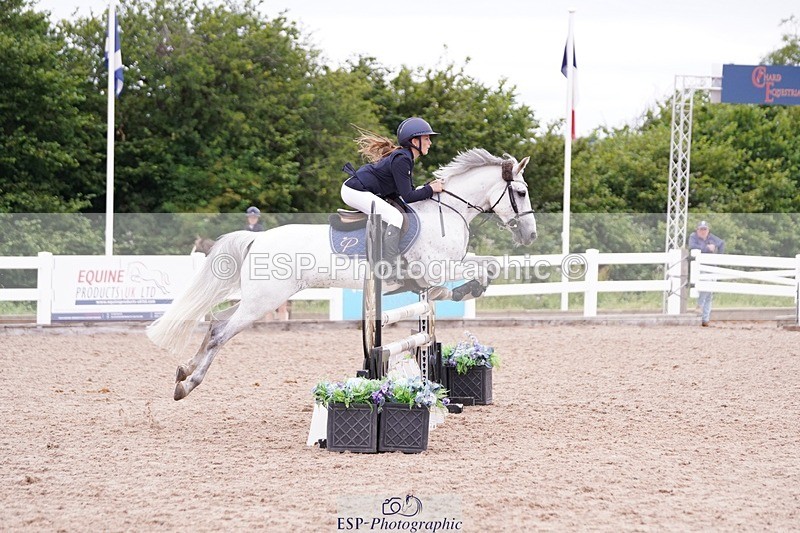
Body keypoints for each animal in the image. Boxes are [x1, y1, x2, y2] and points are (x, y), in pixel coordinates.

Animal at [147, 148, 538, 400]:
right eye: (520, 192)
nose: (530, 235)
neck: (448, 210)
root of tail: (257, 238)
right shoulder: (436, 267)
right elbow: (478, 269)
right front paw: (463, 290)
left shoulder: (445, 266)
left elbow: (484, 266)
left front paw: (462, 291)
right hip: (264, 300)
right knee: (220, 332)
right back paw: (187, 384)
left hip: (257, 298)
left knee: (216, 321)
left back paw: (183, 371)